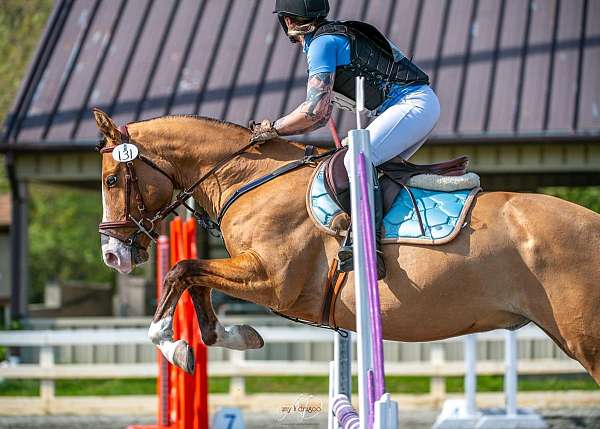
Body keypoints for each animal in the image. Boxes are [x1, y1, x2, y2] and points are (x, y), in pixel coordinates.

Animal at [94, 108, 600, 380]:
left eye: (113, 179)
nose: (113, 255)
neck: (250, 178)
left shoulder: (272, 280)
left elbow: (183, 270)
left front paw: (171, 344)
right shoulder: (251, 272)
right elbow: (195, 278)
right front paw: (234, 336)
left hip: (586, 339)